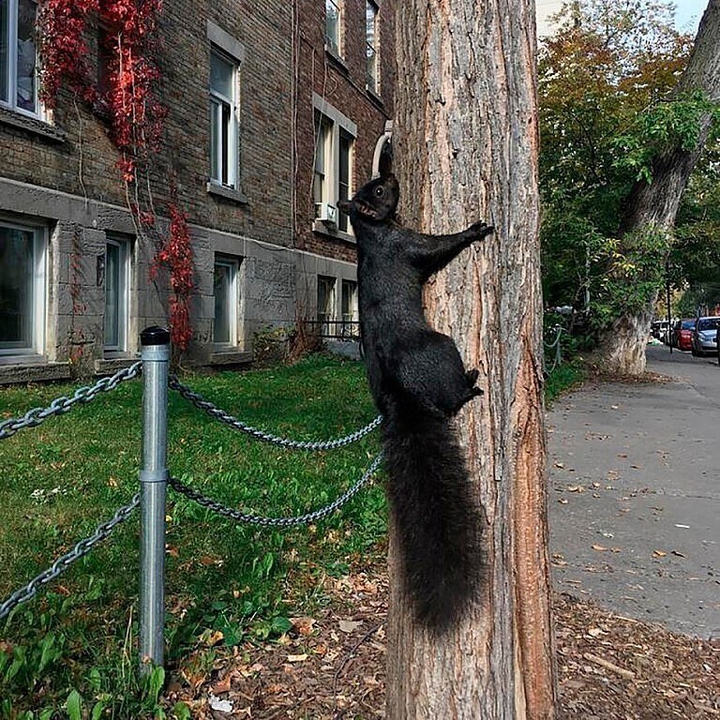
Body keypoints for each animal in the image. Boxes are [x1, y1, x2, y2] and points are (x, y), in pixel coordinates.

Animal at [337, 173, 493, 631]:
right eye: (377, 193)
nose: (390, 177)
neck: (371, 234)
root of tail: (398, 395)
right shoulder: (407, 245)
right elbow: (438, 246)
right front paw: (474, 230)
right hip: (441, 349)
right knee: (450, 401)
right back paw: (469, 384)